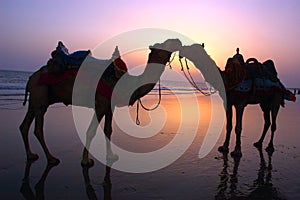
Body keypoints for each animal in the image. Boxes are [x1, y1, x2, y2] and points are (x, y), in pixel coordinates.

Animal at [19, 38, 183, 166]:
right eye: (163, 44)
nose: (177, 40)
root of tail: (31, 77)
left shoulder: (110, 106)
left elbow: (108, 130)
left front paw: (111, 156)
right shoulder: (101, 104)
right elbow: (91, 131)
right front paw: (86, 161)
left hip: (37, 100)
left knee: (24, 126)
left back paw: (31, 155)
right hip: (40, 96)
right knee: (38, 129)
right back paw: (51, 158)